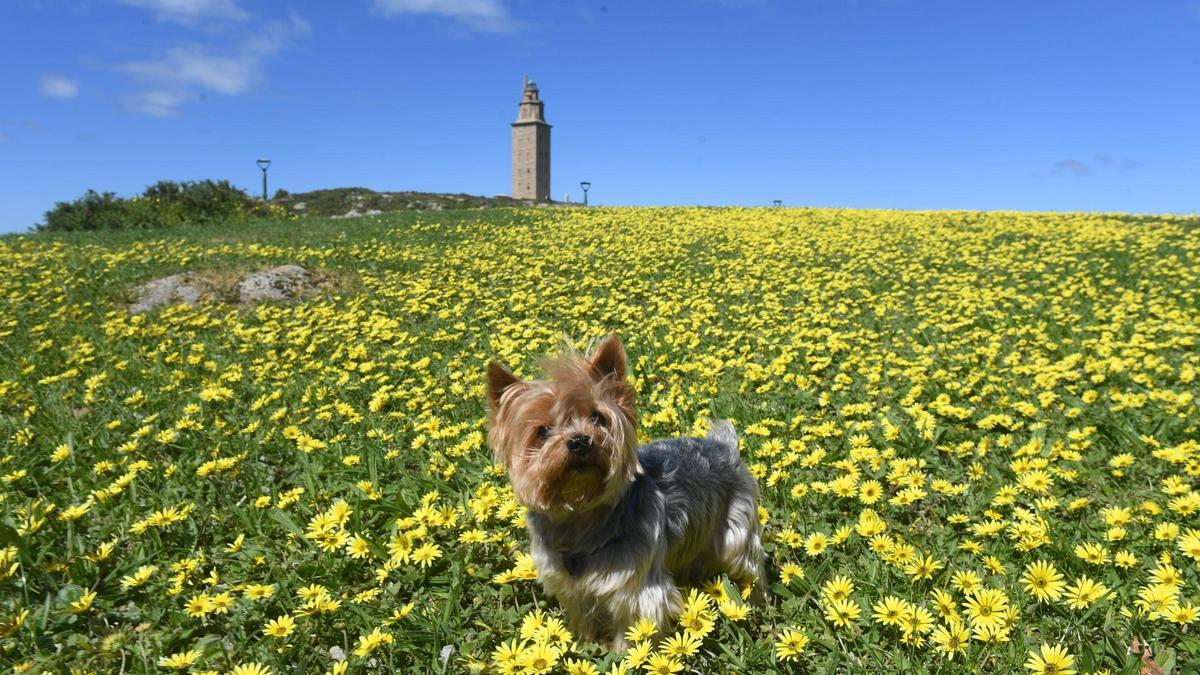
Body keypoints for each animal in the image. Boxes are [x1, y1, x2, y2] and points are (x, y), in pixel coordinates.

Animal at [487, 333, 768, 643]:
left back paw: (757, 601)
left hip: (736, 527)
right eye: (543, 431)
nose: (580, 441)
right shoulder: (571, 586)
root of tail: (722, 444)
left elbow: (634, 630)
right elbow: (584, 617)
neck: (580, 515)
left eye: (598, 417)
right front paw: (586, 643)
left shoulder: (637, 587)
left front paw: (621, 652)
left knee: (749, 562)